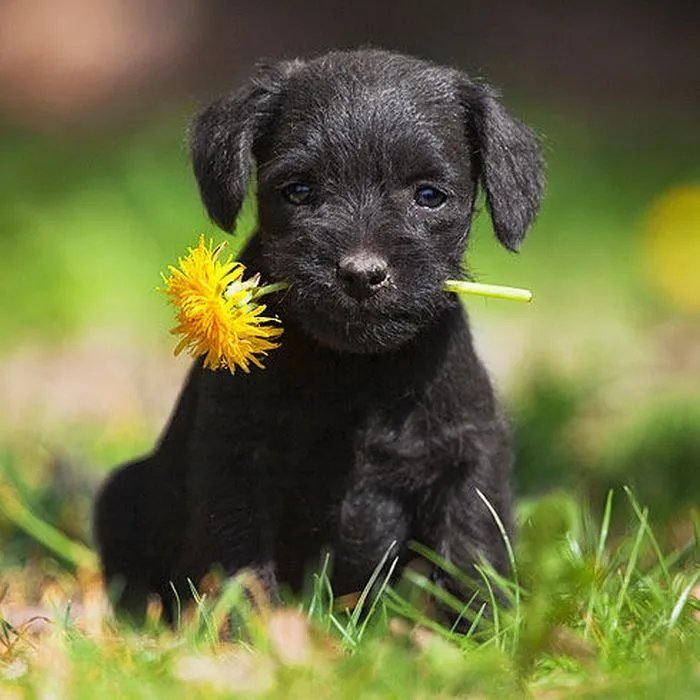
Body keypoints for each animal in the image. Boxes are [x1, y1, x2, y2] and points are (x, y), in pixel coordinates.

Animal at [94, 47, 540, 616]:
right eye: (299, 190)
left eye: (429, 195)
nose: (362, 273)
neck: (356, 373)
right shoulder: (237, 461)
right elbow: (239, 561)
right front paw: (249, 631)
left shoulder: (468, 458)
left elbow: (471, 552)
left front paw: (481, 629)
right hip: (121, 493)